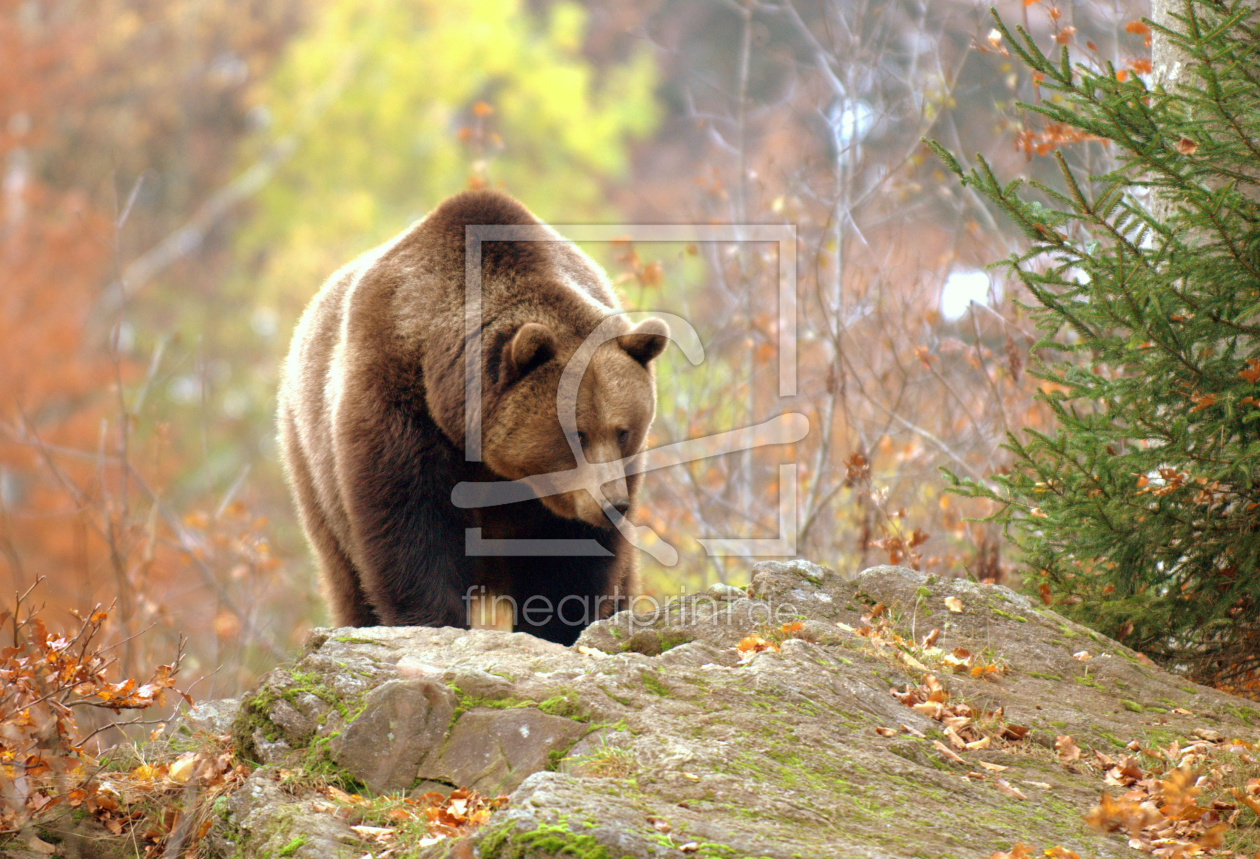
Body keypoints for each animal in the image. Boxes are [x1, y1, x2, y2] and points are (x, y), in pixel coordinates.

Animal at [277, 188, 670, 642]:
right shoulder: (399, 402)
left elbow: (570, 558)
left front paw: (557, 624)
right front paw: (432, 620)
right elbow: (412, 523)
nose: (614, 504)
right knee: (346, 575)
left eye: (623, 431)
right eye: (577, 434)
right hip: (313, 471)